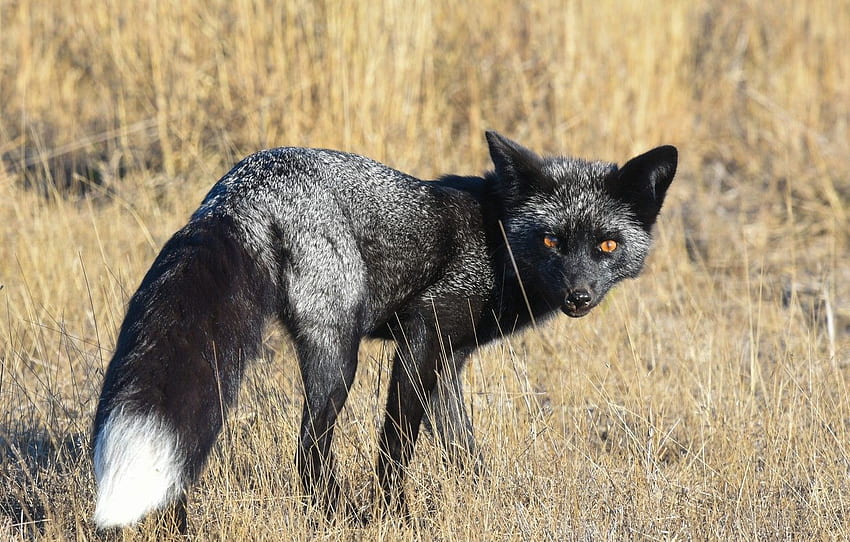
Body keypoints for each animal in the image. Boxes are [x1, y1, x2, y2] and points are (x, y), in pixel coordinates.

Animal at [91, 131, 676, 532]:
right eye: (552, 241)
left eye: (606, 245)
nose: (578, 296)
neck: (496, 240)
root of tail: (242, 182)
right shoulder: (422, 334)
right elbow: (396, 446)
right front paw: (393, 517)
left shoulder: (450, 359)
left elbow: (463, 451)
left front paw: (481, 502)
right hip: (338, 356)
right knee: (309, 448)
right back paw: (333, 519)